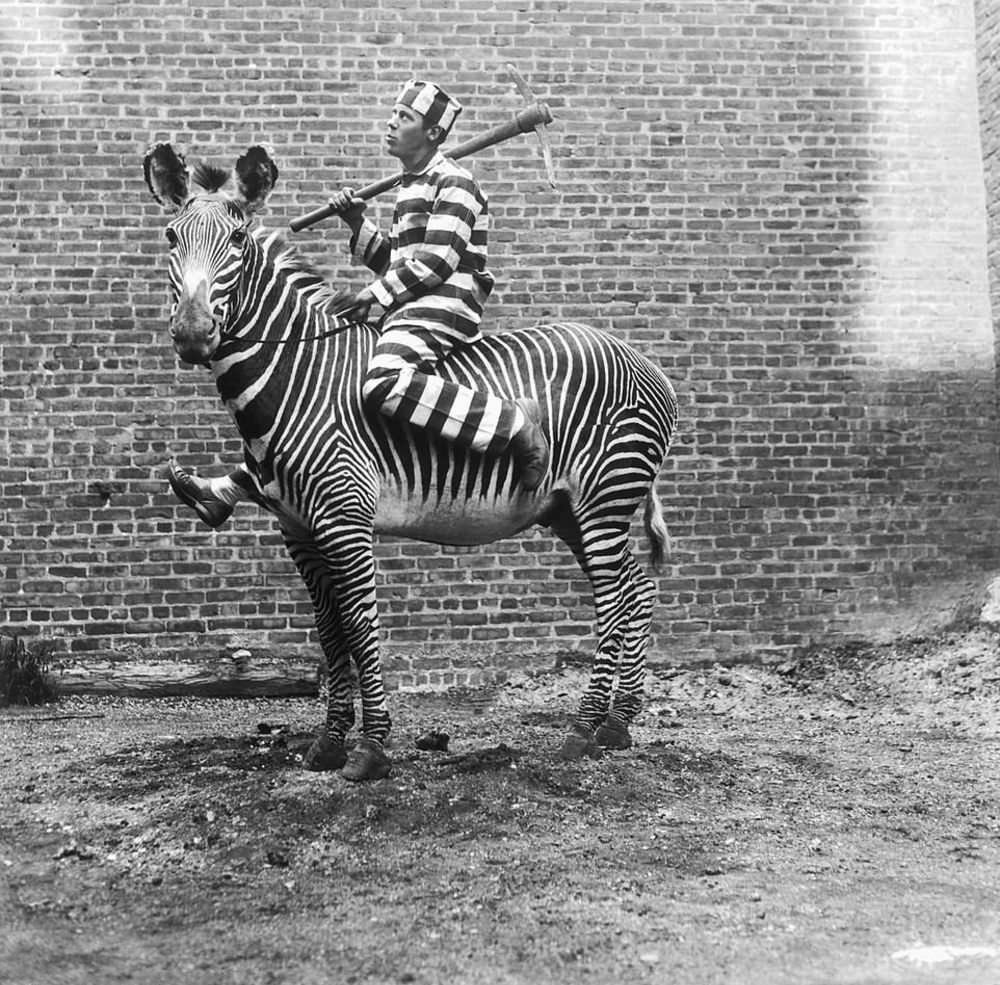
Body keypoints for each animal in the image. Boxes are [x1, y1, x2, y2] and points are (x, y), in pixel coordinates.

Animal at [141, 142, 680, 780]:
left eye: (240, 241)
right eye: (171, 236)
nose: (193, 334)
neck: (295, 374)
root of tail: (642, 359)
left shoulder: (344, 520)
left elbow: (360, 625)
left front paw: (371, 748)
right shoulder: (298, 530)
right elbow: (329, 634)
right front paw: (328, 743)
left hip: (604, 499)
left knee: (616, 598)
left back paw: (582, 728)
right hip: (571, 509)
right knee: (637, 590)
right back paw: (617, 724)